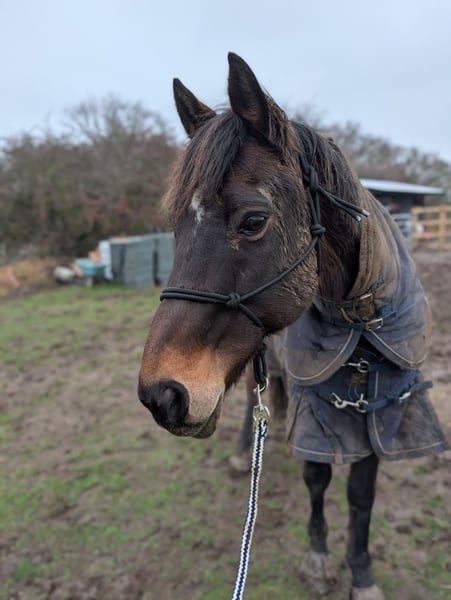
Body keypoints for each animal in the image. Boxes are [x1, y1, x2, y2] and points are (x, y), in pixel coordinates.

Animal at [138, 53, 448, 599]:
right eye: (175, 227)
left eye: (252, 221)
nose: (161, 394)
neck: (359, 323)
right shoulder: (317, 412)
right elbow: (317, 480)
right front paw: (319, 559)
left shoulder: (381, 412)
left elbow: (361, 496)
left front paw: (361, 572)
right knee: (250, 403)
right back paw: (245, 452)